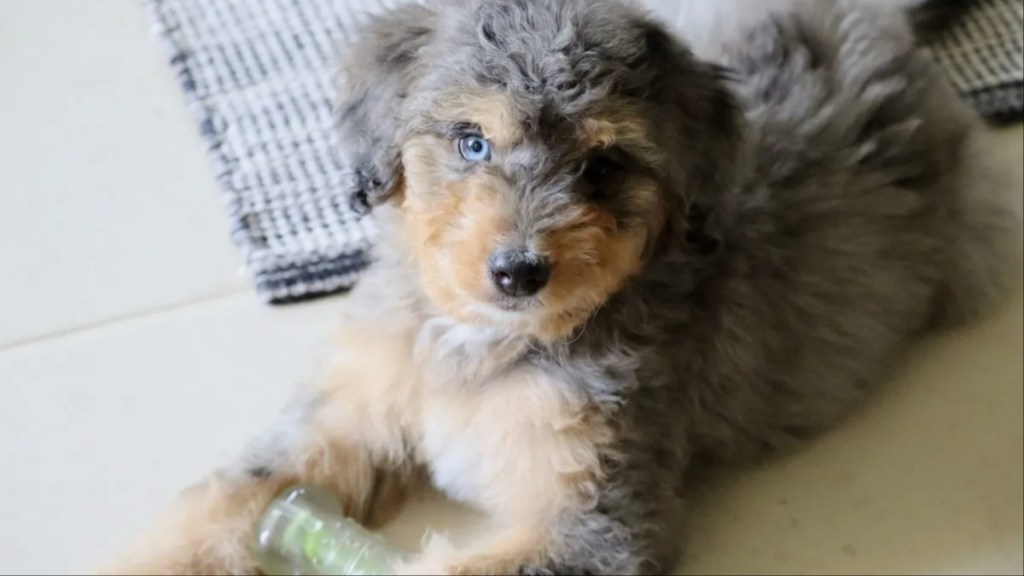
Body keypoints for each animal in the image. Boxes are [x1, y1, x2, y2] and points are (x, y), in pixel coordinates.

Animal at [103, 0, 1015, 569]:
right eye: (471, 141)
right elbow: (222, 502)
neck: (478, 342)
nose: (519, 269)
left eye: (604, 165)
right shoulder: (345, 414)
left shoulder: (593, 519)